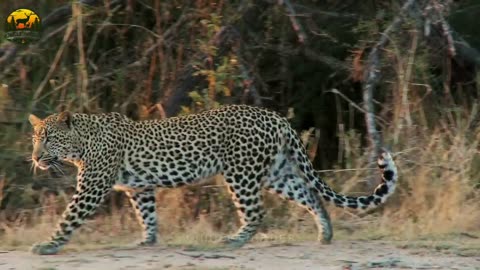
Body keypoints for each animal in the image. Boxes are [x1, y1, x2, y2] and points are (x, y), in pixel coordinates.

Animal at [28, 105, 400, 255]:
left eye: (48, 138)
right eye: (35, 138)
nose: (34, 157)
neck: (82, 143)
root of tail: (277, 117)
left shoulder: (91, 188)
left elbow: (68, 218)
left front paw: (47, 246)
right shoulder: (140, 187)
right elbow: (147, 215)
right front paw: (147, 241)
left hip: (241, 172)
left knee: (256, 212)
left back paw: (234, 241)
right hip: (276, 172)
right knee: (310, 195)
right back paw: (325, 233)